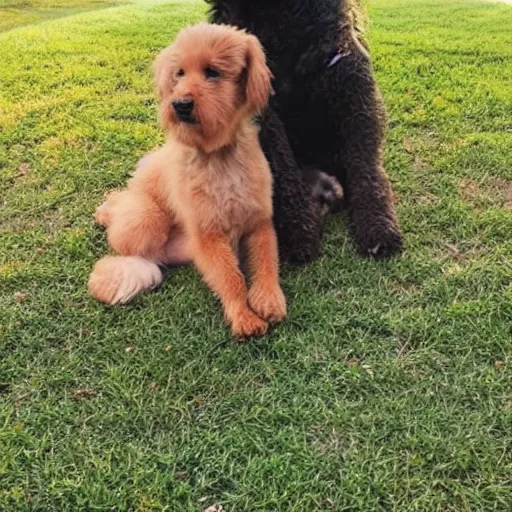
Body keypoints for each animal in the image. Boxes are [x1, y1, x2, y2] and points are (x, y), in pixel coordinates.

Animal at [88, 23, 288, 340]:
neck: (217, 157)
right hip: (145, 220)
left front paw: (269, 298)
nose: (180, 104)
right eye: (179, 73)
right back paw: (107, 212)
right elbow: (231, 277)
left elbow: (267, 261)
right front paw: (242, 315)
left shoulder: (259, 221)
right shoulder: (208, 234)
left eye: (212, 72)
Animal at [206, 0, 402, 262]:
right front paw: (298, 229)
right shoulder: (261, 110)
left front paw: (379, 225)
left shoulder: (353, 83)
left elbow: (366, 165)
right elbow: (282, 167)